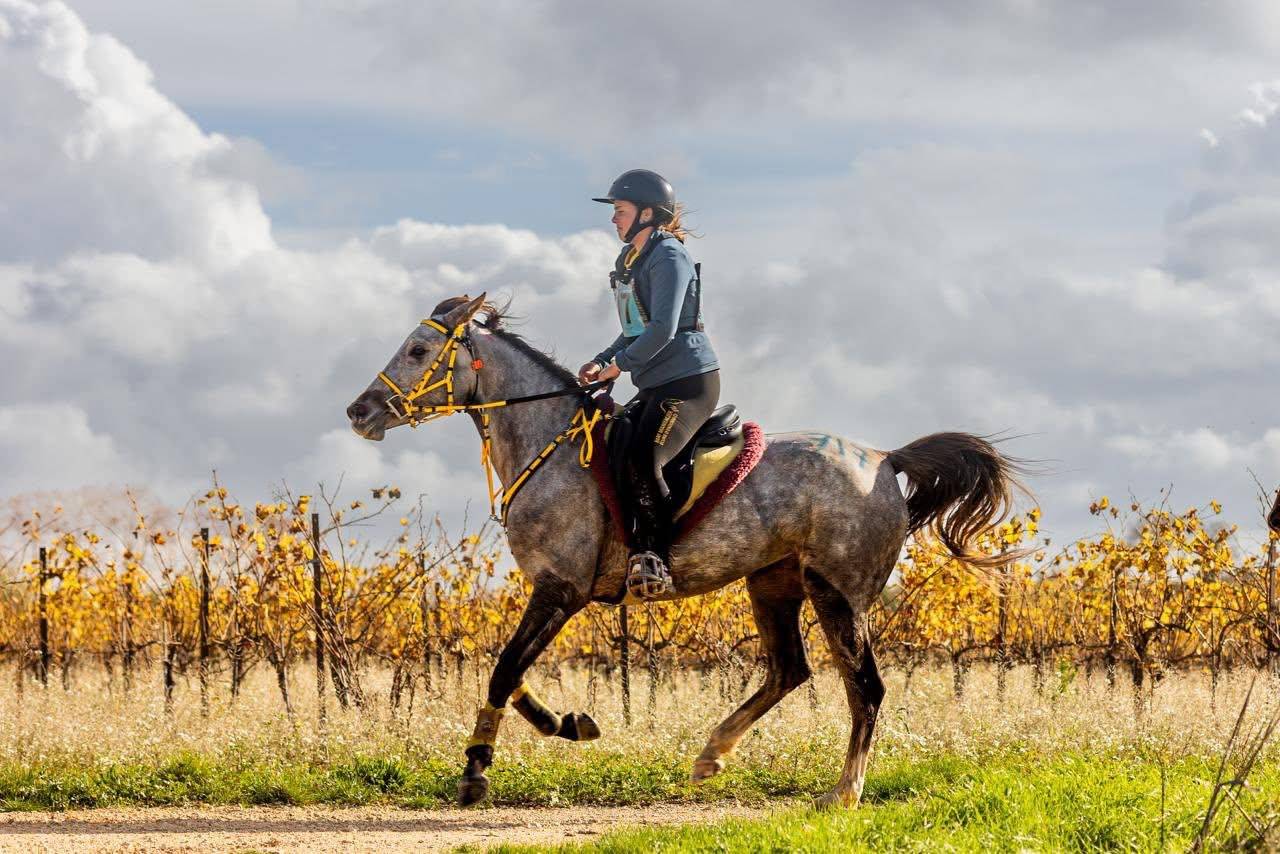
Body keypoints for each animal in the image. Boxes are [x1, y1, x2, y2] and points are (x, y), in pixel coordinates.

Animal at [346, 293, 1027, 808]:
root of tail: (886, 460)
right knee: (789, 670)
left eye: (418, 350)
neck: (550, 445)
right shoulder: (553, 590)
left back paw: (843, 793)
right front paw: (569, 724)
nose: (358, 411)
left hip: (836, 591)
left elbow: (505, 666)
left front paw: (476, 768)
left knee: (865, 688)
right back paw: (710, 755)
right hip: (772, 581)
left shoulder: (561, 589)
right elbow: (509, 669)